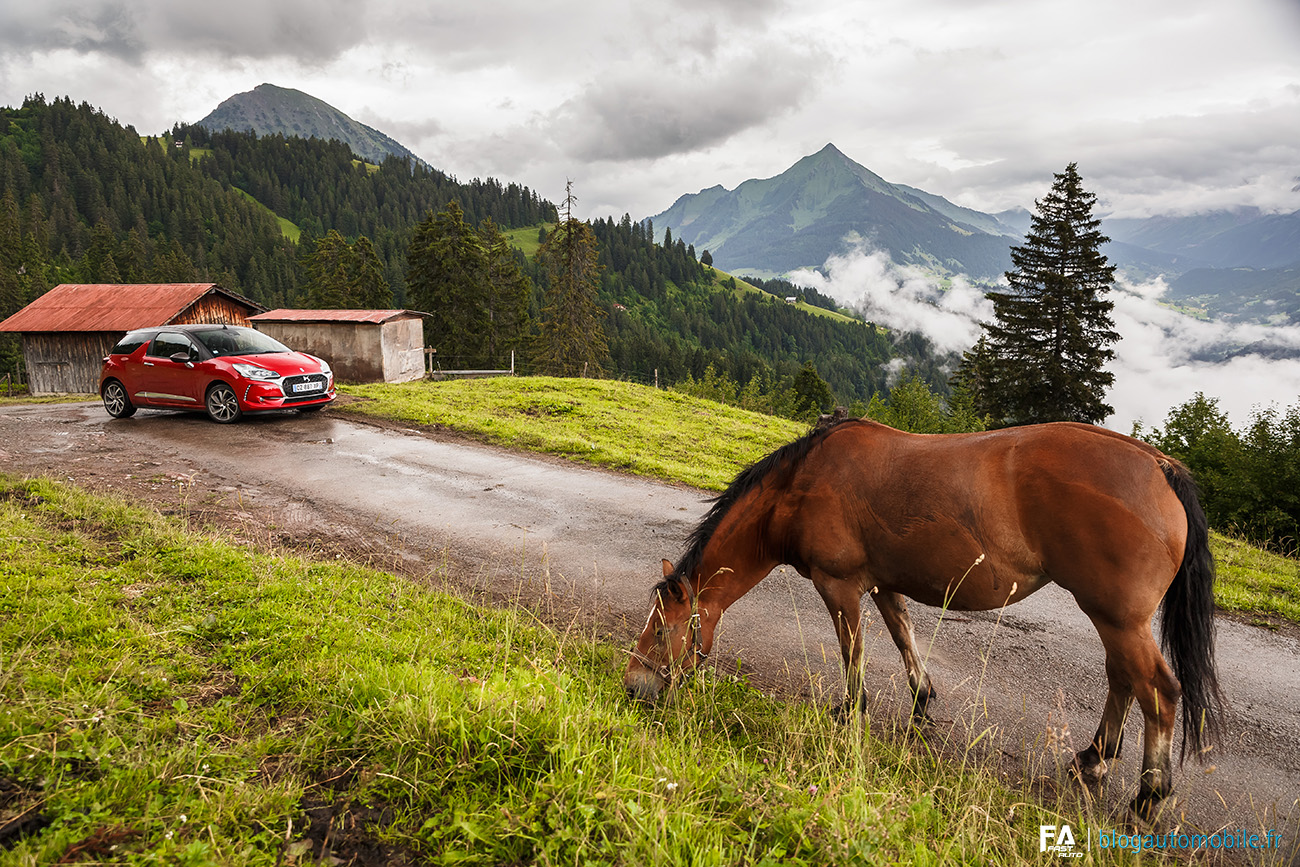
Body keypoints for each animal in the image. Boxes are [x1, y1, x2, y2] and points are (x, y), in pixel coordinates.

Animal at [624, 421, 1222, 821]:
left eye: (661, 629)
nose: (633, 687)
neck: (799, 487)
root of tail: (1160, 467)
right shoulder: (884, 584)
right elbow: (902, 635)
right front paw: (920, 701)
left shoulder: (839, 586)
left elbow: (854, 651)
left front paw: (851, 712)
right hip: (1112, 619)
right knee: (1123, 679)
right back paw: (1094, 759)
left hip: (1117, 619)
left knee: (1159, 691)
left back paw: (1147, 796)